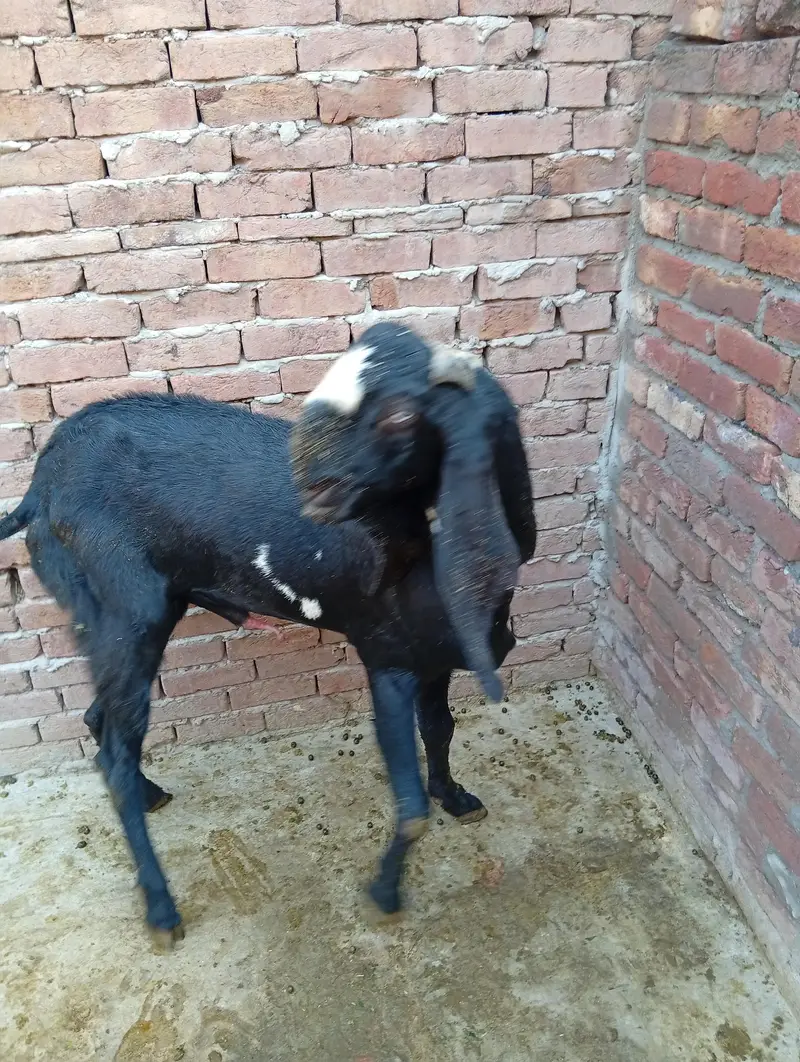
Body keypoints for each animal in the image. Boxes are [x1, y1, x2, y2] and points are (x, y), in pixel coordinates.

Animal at [0, 322, 536, 949]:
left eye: (402, 415)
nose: (308, 486)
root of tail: (38, 490)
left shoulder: (434, 659)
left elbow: (442, 730)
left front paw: (455, 797)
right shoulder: (387, 658)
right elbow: (408, 807)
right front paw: (384, 893)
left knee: (100, 724)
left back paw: (150, 795)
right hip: (125, 613)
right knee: (113, 749)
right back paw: (161, 908)